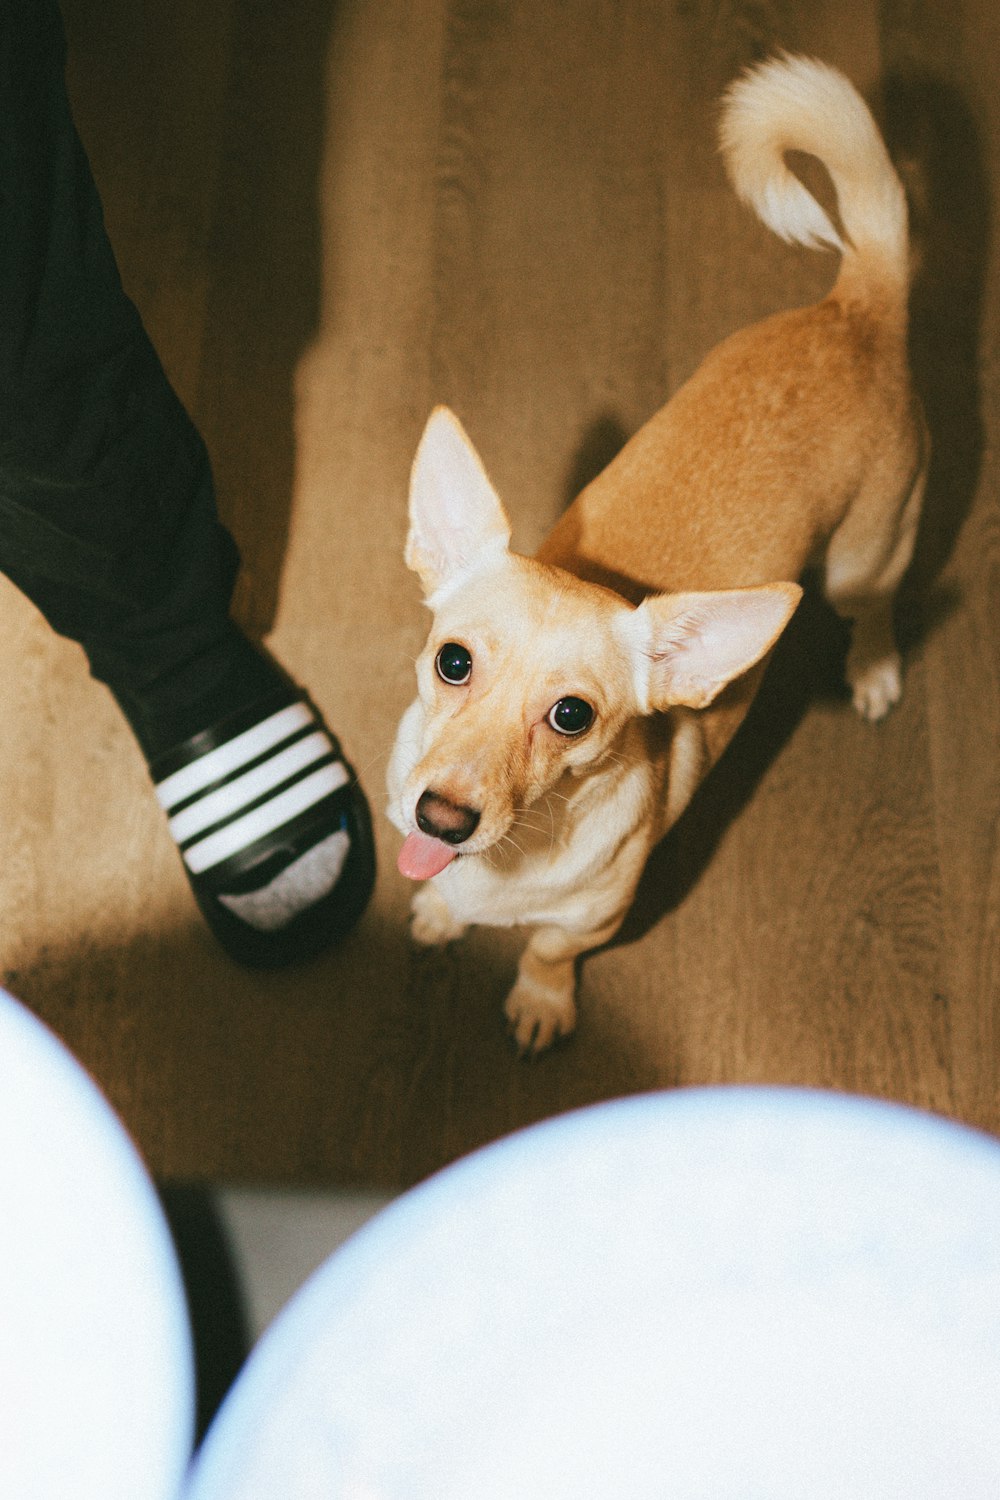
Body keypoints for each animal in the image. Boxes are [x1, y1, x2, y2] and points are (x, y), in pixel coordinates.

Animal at [386, 55, 929, 1056]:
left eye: (572, 717)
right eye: (453, 663)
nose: (442, 813)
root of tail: (856, 303)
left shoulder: (594, 919)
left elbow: (548, 950)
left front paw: (541, 1002)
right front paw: (440, 913)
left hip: (864, 557)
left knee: (875, 606)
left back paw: (874, 672)